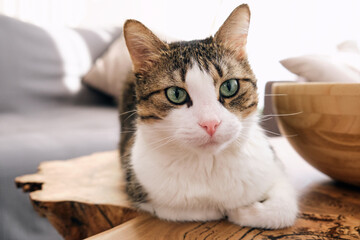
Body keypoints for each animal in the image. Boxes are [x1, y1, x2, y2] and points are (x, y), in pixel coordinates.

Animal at [119, 4, 298, 229]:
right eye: (175, 94)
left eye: (229, 86)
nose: (210, 123)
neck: (208, 164)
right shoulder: (140, 185)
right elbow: (191, 210)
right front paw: (223, 209)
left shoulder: (274, 166)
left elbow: (283, 208)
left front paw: (243, 211)